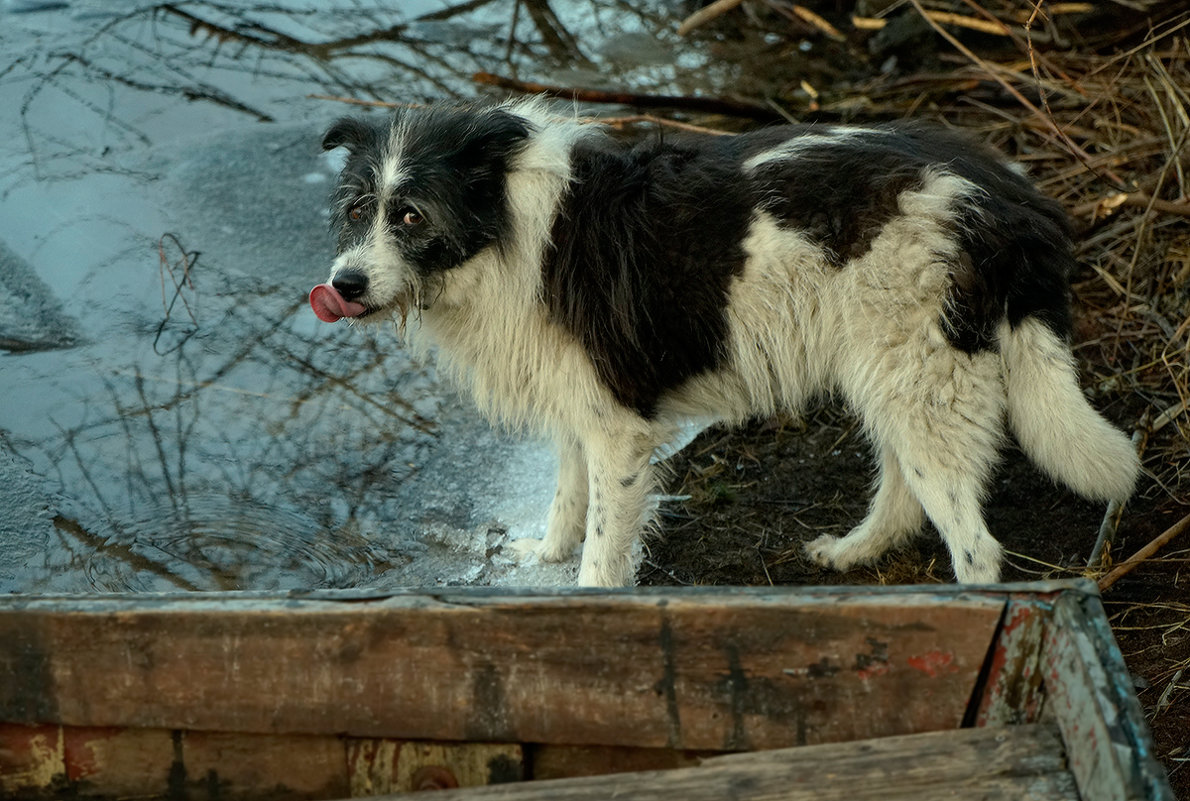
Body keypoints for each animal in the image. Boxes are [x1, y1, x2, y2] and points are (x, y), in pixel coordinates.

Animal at [311, 101, 1137, 587]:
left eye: (411, 215)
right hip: (891, 371)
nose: (342, 284)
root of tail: (1004, 193)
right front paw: (541, 557)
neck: (508, 225)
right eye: (356, 209)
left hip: (921, 369)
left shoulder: (617, 424)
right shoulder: (581, 403)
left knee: (974, 543)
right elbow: (566, 499)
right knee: (907, 482)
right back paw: (857, 549)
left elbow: (602, 543)